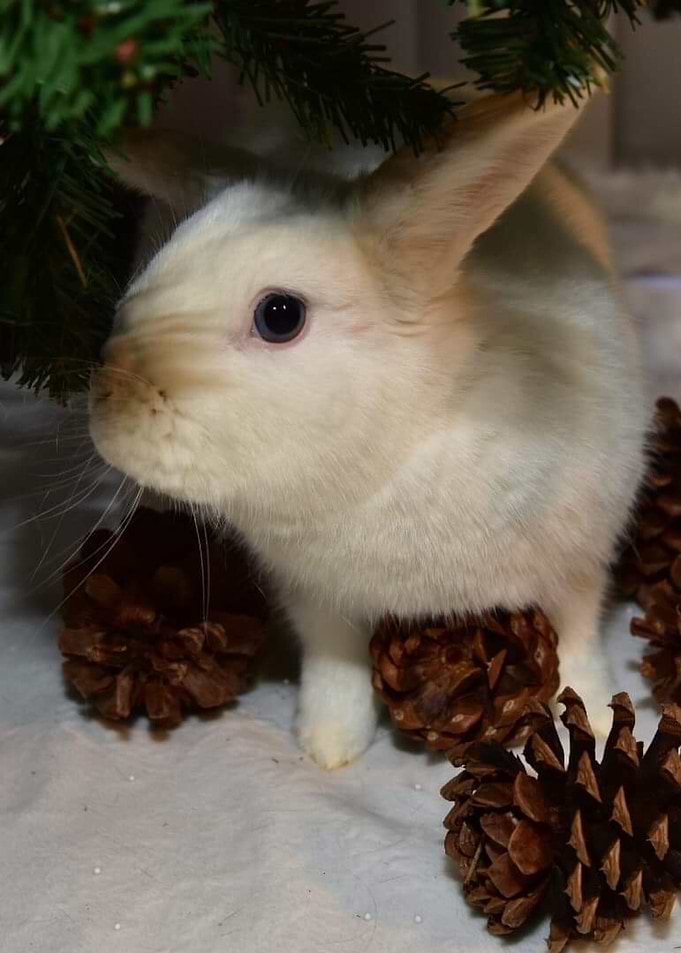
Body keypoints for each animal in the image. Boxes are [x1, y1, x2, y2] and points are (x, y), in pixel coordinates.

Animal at [91, 92, 647, 768]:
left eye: (280, 315)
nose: (107, 408)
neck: (396, 450)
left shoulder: (577, 567)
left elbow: (577, 644)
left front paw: (600, 722)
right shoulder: (319, 599)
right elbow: (337, 666)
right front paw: (328, 745)